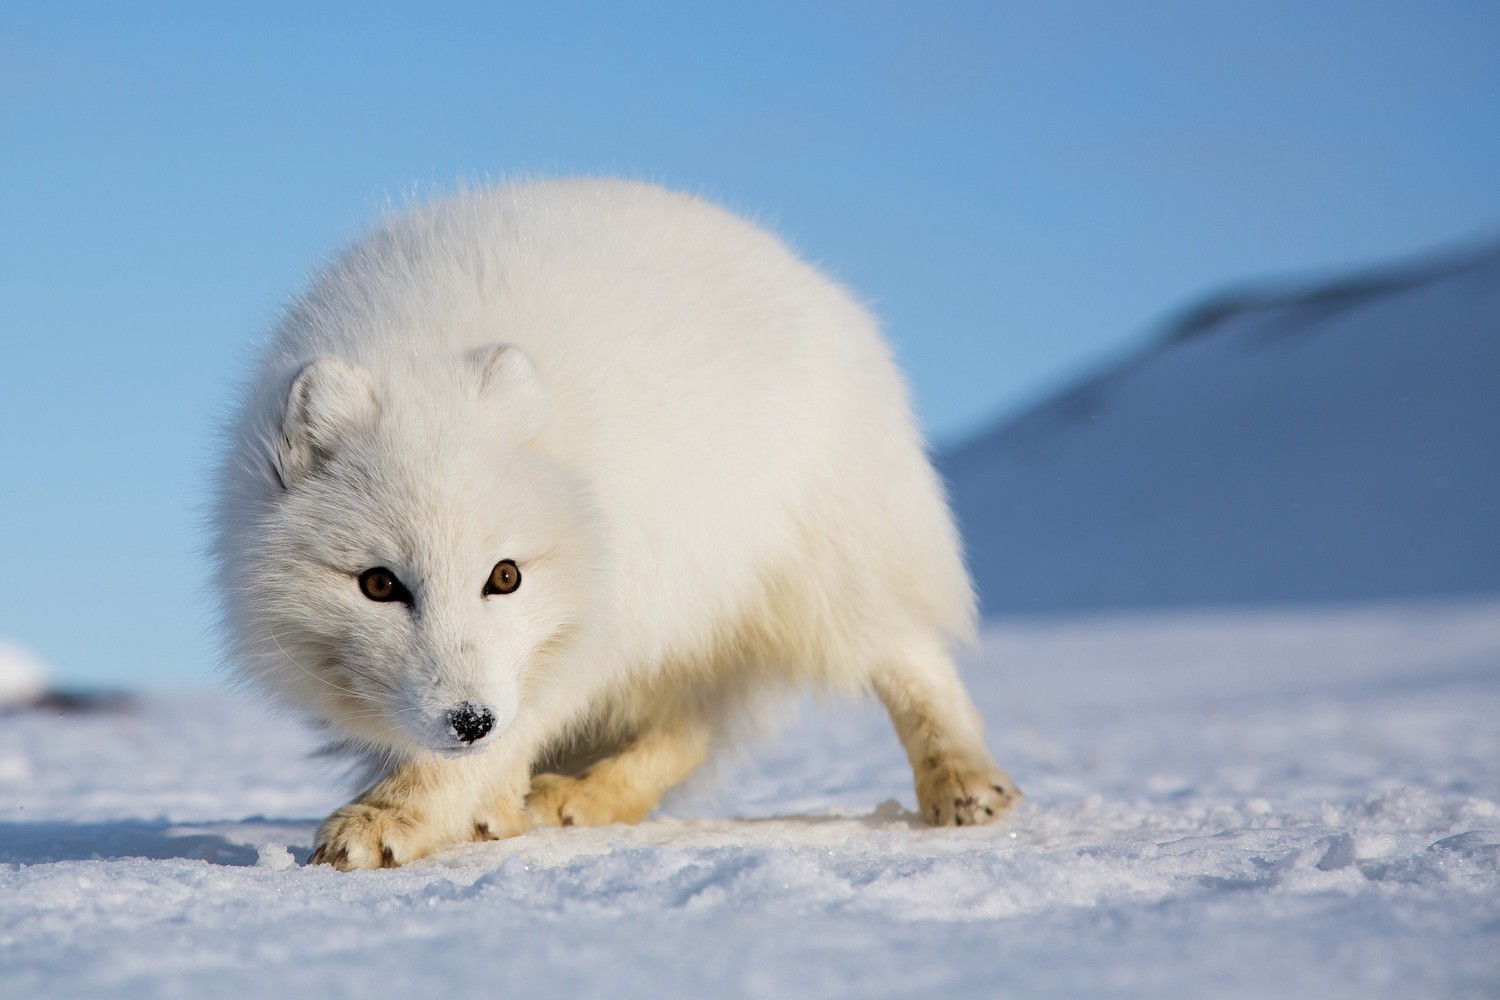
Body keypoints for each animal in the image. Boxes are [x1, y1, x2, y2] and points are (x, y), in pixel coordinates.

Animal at [214, 177, 1020, 869]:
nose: (469, 719)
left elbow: (498, 740)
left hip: (819, 562)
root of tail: (808, 274)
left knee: (909, 654)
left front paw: (391, 818)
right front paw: (479, 812)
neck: (419, 350)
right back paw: (581, 797)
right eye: (379, 585)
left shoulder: (583, 631)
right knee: (692, 723)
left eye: (504, 575)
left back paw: (964, 783)